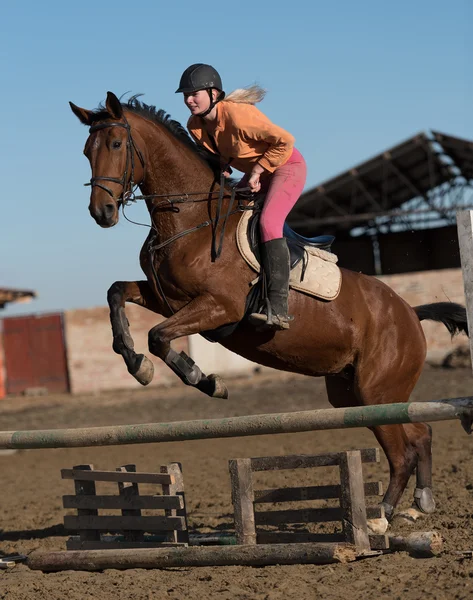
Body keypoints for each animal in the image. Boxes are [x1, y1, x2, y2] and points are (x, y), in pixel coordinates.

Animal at [71, 91, 468, 528]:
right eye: (87, 151)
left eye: (116, 144)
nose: (101, 213)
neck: (190, 220)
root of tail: (410, 313)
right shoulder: (166, 298)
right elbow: (117, 295)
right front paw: (135, 362)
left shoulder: (219, 307)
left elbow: (158, 336)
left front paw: (203, 380)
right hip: (353, 396)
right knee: (419, 434)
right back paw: (420, 502)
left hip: (377, 390)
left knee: (403, 450)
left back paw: (383, 514)